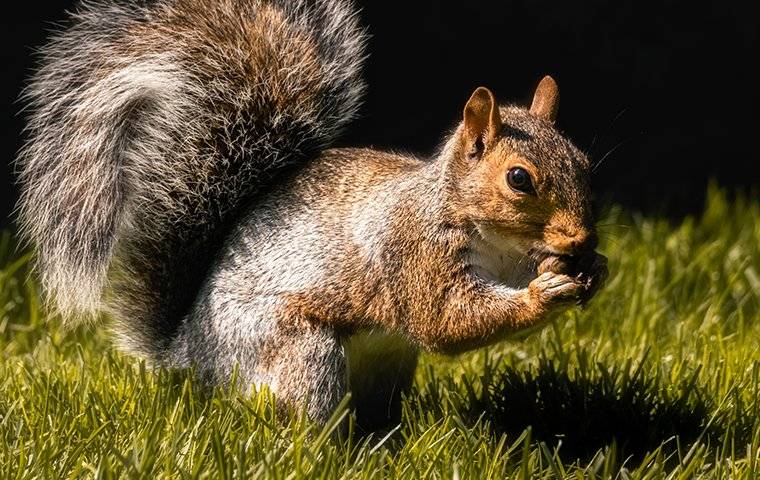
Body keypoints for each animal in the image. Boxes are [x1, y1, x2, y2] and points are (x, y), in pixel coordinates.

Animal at [16, 0, 604, 428]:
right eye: (519, 179)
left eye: (583, 161)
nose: (581, 239)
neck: (501, 245)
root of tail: (191, 353)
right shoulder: (414, 252)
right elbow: (446, 320)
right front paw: (540, 295)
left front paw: (592, 271)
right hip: (298, 351)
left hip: (386, 364)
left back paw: (385, 437)